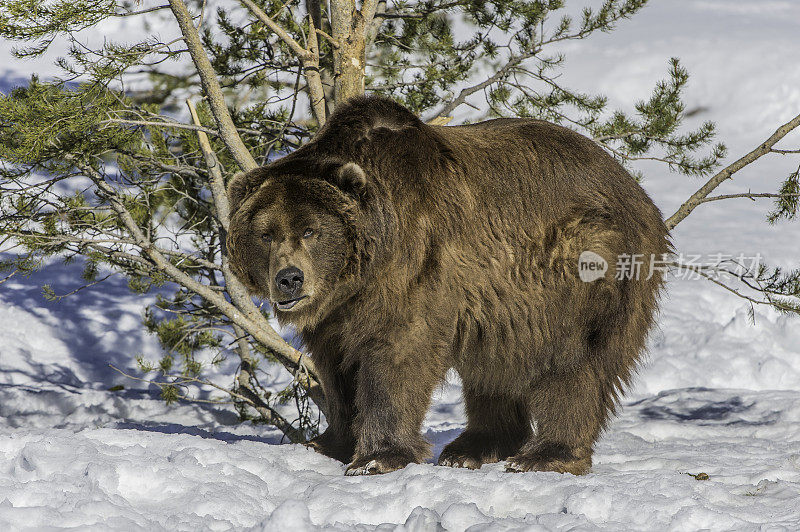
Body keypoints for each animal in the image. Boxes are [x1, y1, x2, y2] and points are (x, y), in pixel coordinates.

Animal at [225, 94, 668, 474]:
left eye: (311, 230)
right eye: (265, 234)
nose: (289, 279)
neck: (360, 272)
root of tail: (634, 187)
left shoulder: (414, 268)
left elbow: (397, 353)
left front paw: (377, 456)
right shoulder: (338, 311)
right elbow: (337, 367)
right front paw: (326, 443)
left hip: (581, 264)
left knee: (573, 358)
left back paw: (543, 455)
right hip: (506, 304)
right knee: (494, 365)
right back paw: (474, 447)